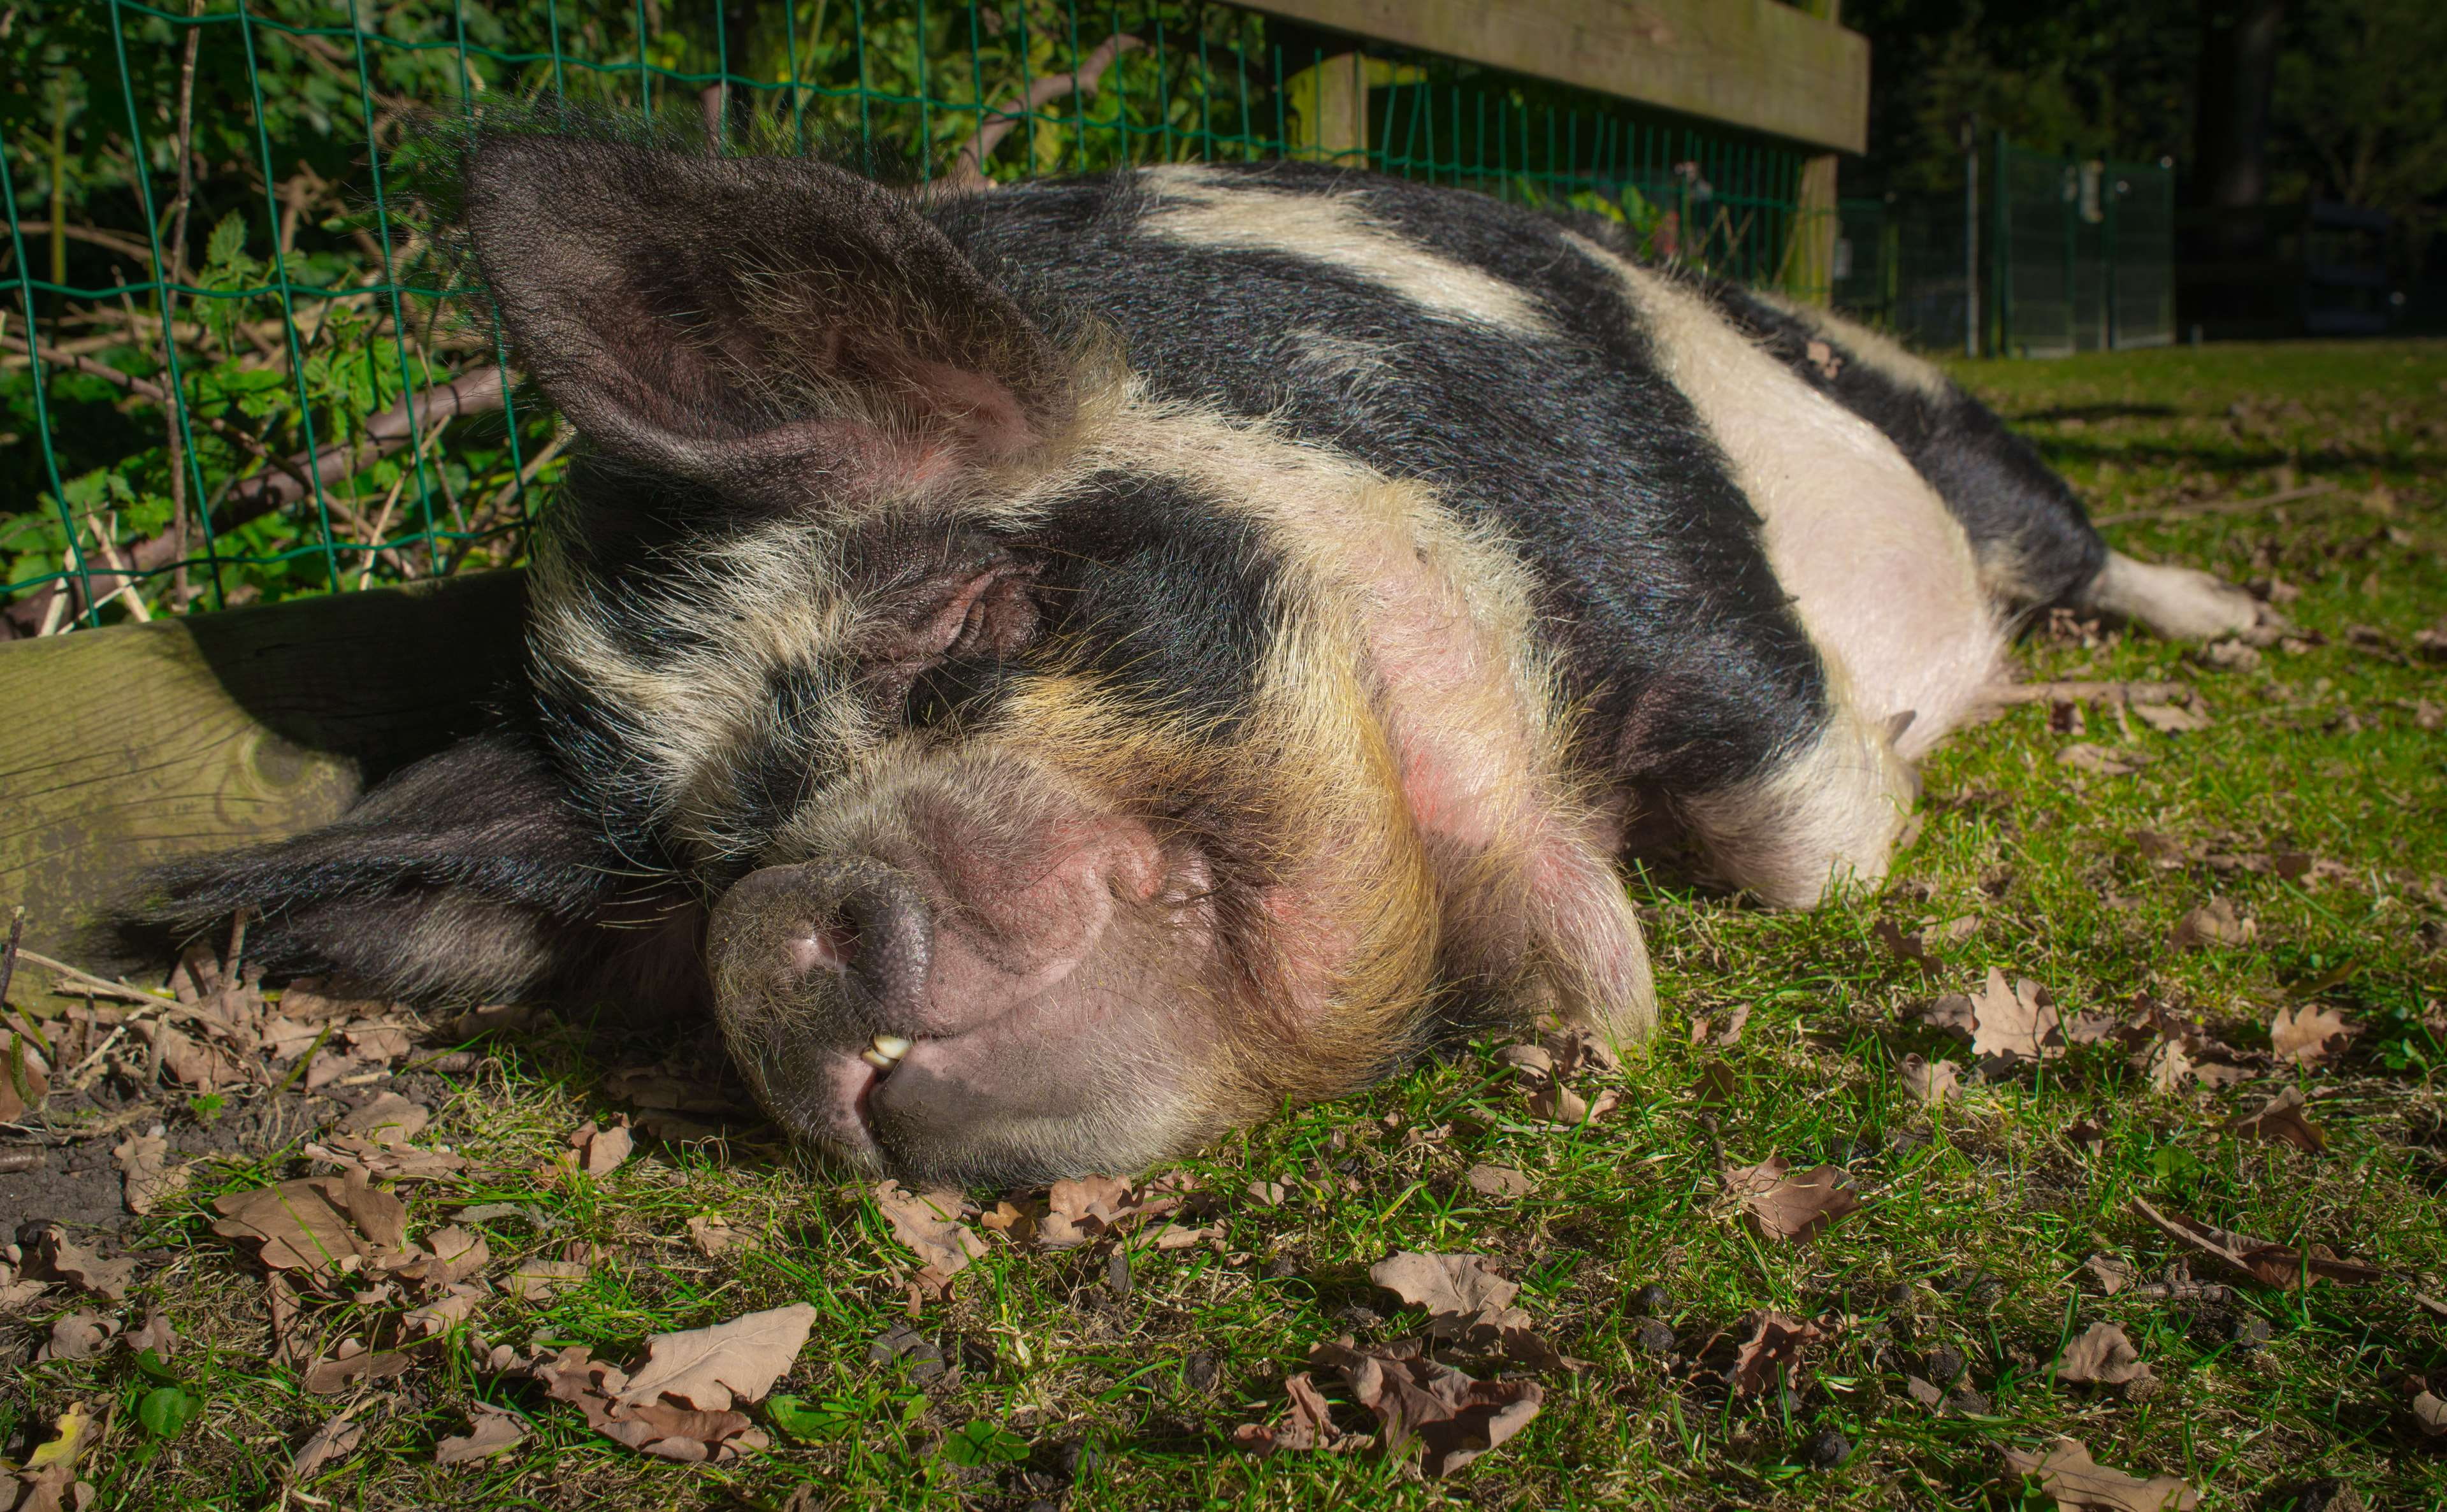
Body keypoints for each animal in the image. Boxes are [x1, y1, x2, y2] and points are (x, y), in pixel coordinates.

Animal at [143, 131, 2263, 1185]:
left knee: (2071, 542)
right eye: (678, 886)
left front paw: (1876, 775)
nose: (790, 932)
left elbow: (1808, 833)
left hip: (1949, 439)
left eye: (962, 620)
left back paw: (2238, 625)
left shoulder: (1637, 512)